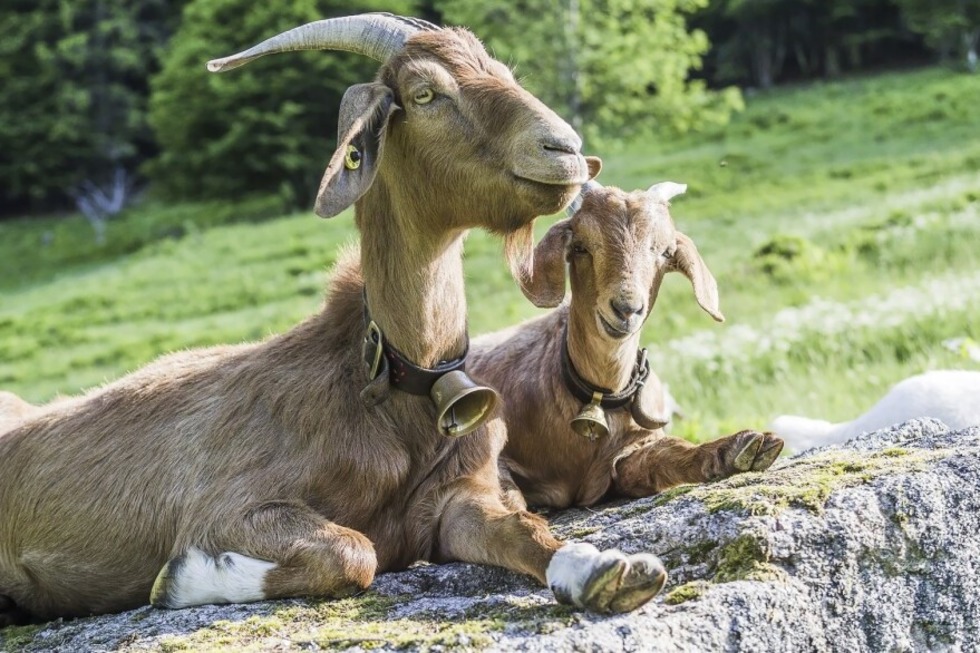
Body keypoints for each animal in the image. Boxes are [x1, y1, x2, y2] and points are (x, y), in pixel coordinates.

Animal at [0, 14, 668, 628]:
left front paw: (604, 570)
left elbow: (522, 529)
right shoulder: (230, 504)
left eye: (504, 73)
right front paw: (180, 577)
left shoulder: (454, 500)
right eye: (425, 93)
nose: (565, 151)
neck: (389, 383)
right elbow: (354, 552)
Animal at [470, 181, 784, 506]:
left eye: (665, 252)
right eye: (580, 247)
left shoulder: (628, 451)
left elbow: (663, 455)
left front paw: (741, 449)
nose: (626, 309)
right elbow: (502, 489)